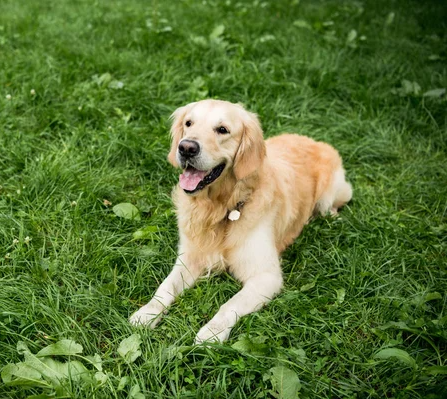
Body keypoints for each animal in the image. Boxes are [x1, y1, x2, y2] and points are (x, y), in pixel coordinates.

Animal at [130, 100, 354, 344]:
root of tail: (314, 140)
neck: (222, 208)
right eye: (189, 123)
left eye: (222, 129)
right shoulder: (189, 258)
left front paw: (211, 332)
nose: (186, 148)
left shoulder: (266, 276)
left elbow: (230, 304)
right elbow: (165, 287)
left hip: (329, 196)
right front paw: (147, 313)